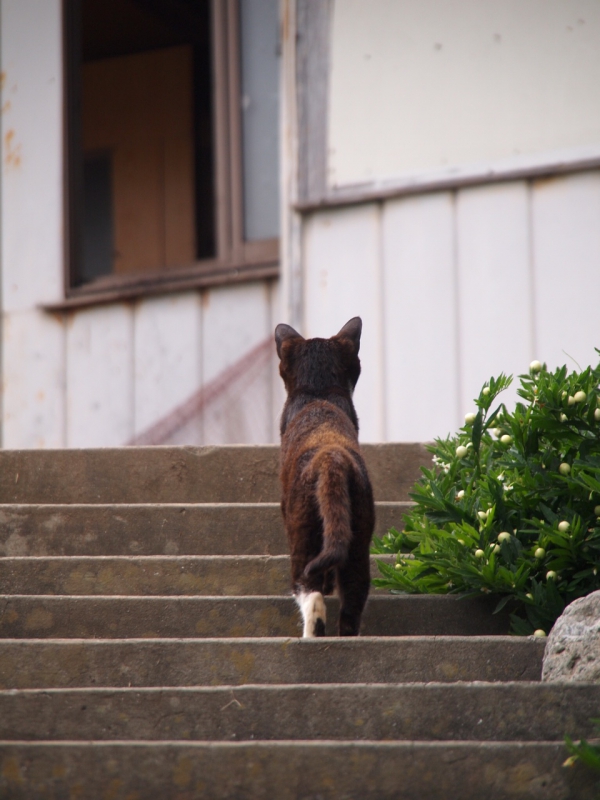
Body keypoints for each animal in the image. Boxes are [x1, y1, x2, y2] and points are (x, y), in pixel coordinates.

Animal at [276, 316, 376, 636]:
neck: (318, 394)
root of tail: (332, 458)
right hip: (358, 541)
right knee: (353, 602)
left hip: (302, 537)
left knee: (310, 594)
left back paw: (311, 636)